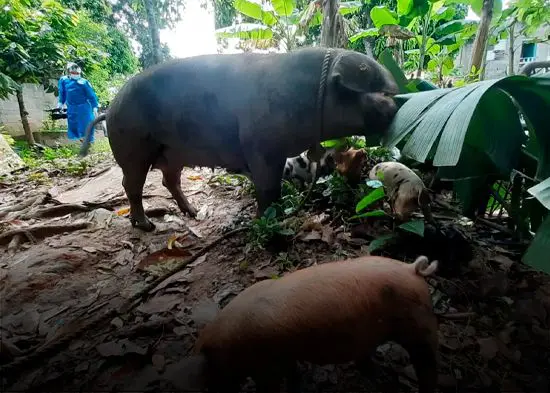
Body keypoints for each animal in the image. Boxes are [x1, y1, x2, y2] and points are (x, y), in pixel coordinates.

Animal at [183, 256, 442, 390]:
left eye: (210, 375)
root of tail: (412, 269)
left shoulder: (265, 367)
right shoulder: (282, 356)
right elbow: (292, 371)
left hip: (419, 325)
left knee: (427, 363)